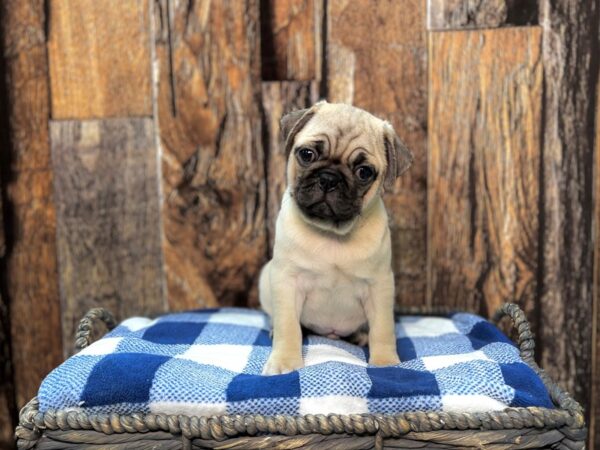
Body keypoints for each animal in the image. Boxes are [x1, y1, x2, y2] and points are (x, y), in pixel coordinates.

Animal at [260, 100, 414, 374]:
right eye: (307, 154)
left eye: (364, 172)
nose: (329, 178)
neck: (331, 233)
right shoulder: (287, 280)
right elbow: (289, 327)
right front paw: (284, 361)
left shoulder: (380, 286)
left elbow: (383, 329)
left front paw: (385, 362)